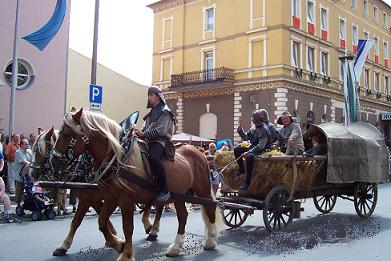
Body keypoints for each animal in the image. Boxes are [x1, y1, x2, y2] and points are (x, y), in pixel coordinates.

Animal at [50, 108, 224, 260]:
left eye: (66, 134)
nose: (53, 161)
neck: (117, 159)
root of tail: (200, 152)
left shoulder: (124, 200)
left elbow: (127, 228)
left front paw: (126, 254)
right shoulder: (110, 198)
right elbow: (100, 222)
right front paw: (117, 244)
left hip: (202, 189)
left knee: (209, 207)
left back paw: (210, 240)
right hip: (180, 194)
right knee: (182, 216)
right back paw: (175, 246)